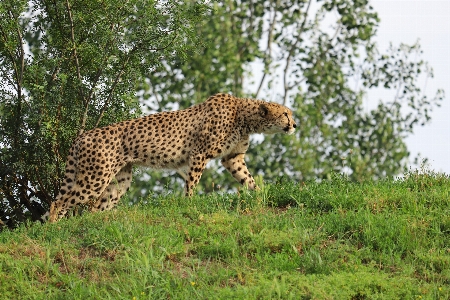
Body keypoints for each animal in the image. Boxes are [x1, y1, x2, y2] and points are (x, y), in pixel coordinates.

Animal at [47, 94, 298, 223]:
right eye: (285, 114)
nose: (295, 125)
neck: (244, 116)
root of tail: (83, 135)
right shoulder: (199, 154)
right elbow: (192, 184)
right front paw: (189, 204)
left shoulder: (232, 158)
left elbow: (248, 179)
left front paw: (261, 195)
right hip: (96, 177)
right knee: (59, 201)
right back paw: (53, 228)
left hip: (121, 179)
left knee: (96, 207)